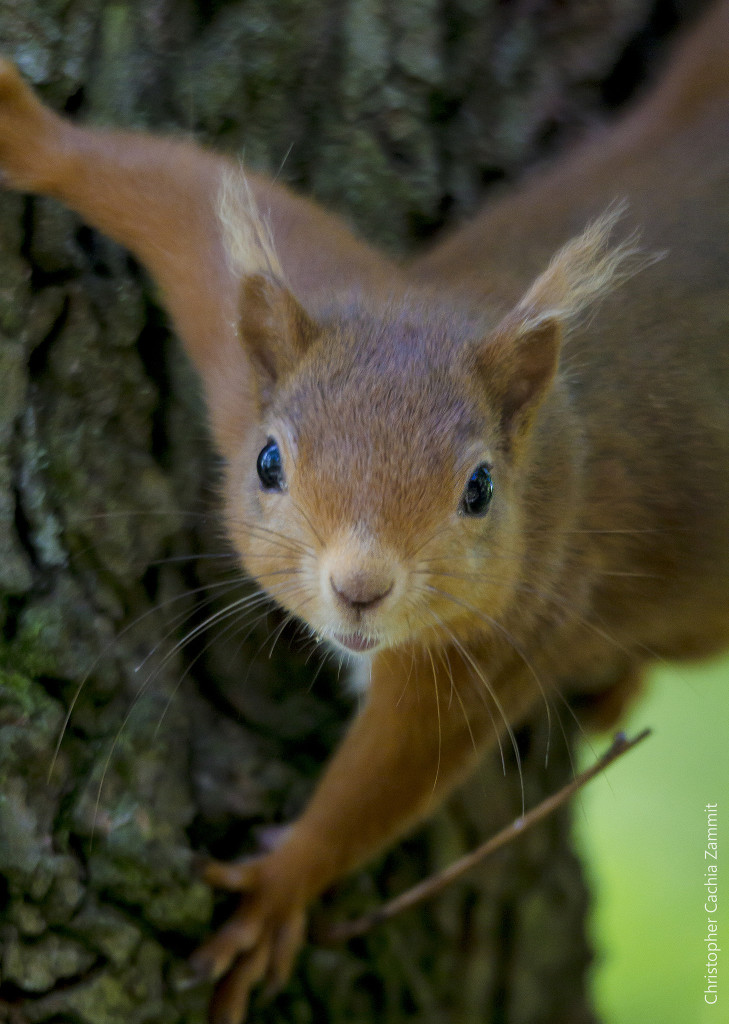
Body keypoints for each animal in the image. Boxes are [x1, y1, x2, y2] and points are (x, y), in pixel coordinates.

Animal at [0, 4, 724, 1019]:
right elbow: (176, 193)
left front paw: (278, 889)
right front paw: (25, 129)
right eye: (267, 460)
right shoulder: (274, 328)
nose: (360, 587)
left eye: (479, 489)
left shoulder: (498, 640)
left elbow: (390, 777)